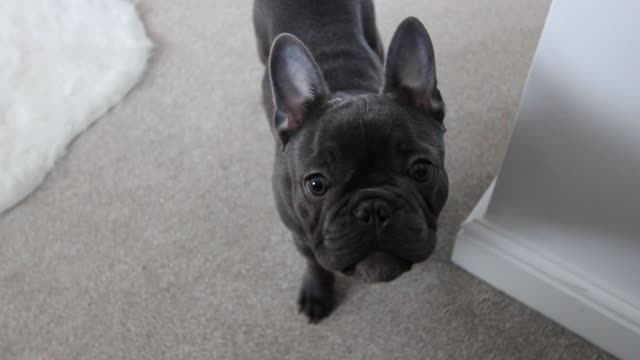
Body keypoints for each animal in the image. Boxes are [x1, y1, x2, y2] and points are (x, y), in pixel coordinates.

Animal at [252, 0, 448, 320]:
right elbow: (314, 262)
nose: (373, 208)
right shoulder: (300, 237)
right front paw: (317, 292)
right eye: (316, 185)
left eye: (422, 170)